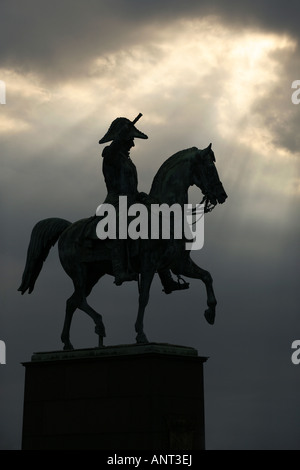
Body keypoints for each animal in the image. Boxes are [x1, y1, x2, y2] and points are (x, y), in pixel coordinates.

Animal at [18, 143, 227, 348]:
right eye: (210, 168)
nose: (222, 195)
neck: (166, 214)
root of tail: (67, 229)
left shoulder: (179, 263)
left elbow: (207, 276)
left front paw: (210, 313)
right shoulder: (149, 263)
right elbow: (144, 297)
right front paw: (140, 334)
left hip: (93, 274)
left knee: (72, 301)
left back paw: (68, 343)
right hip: (79, 272)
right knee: (80, 300)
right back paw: (99, 325)